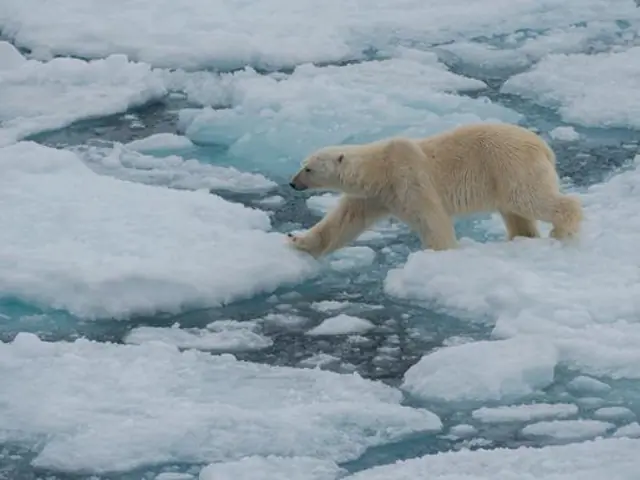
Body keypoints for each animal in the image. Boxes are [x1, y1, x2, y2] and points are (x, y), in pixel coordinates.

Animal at [287, 122, 583, 258]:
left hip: (510, 165)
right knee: (516, 212)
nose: (292, 183)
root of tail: (543, 146)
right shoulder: (373, 196)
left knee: (529, 198)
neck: (380, 168)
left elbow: (431, 218)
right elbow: (342, 222)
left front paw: (439, 254)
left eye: (308, 168)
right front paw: (297, 239)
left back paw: (562, 229)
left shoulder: (408, 178)